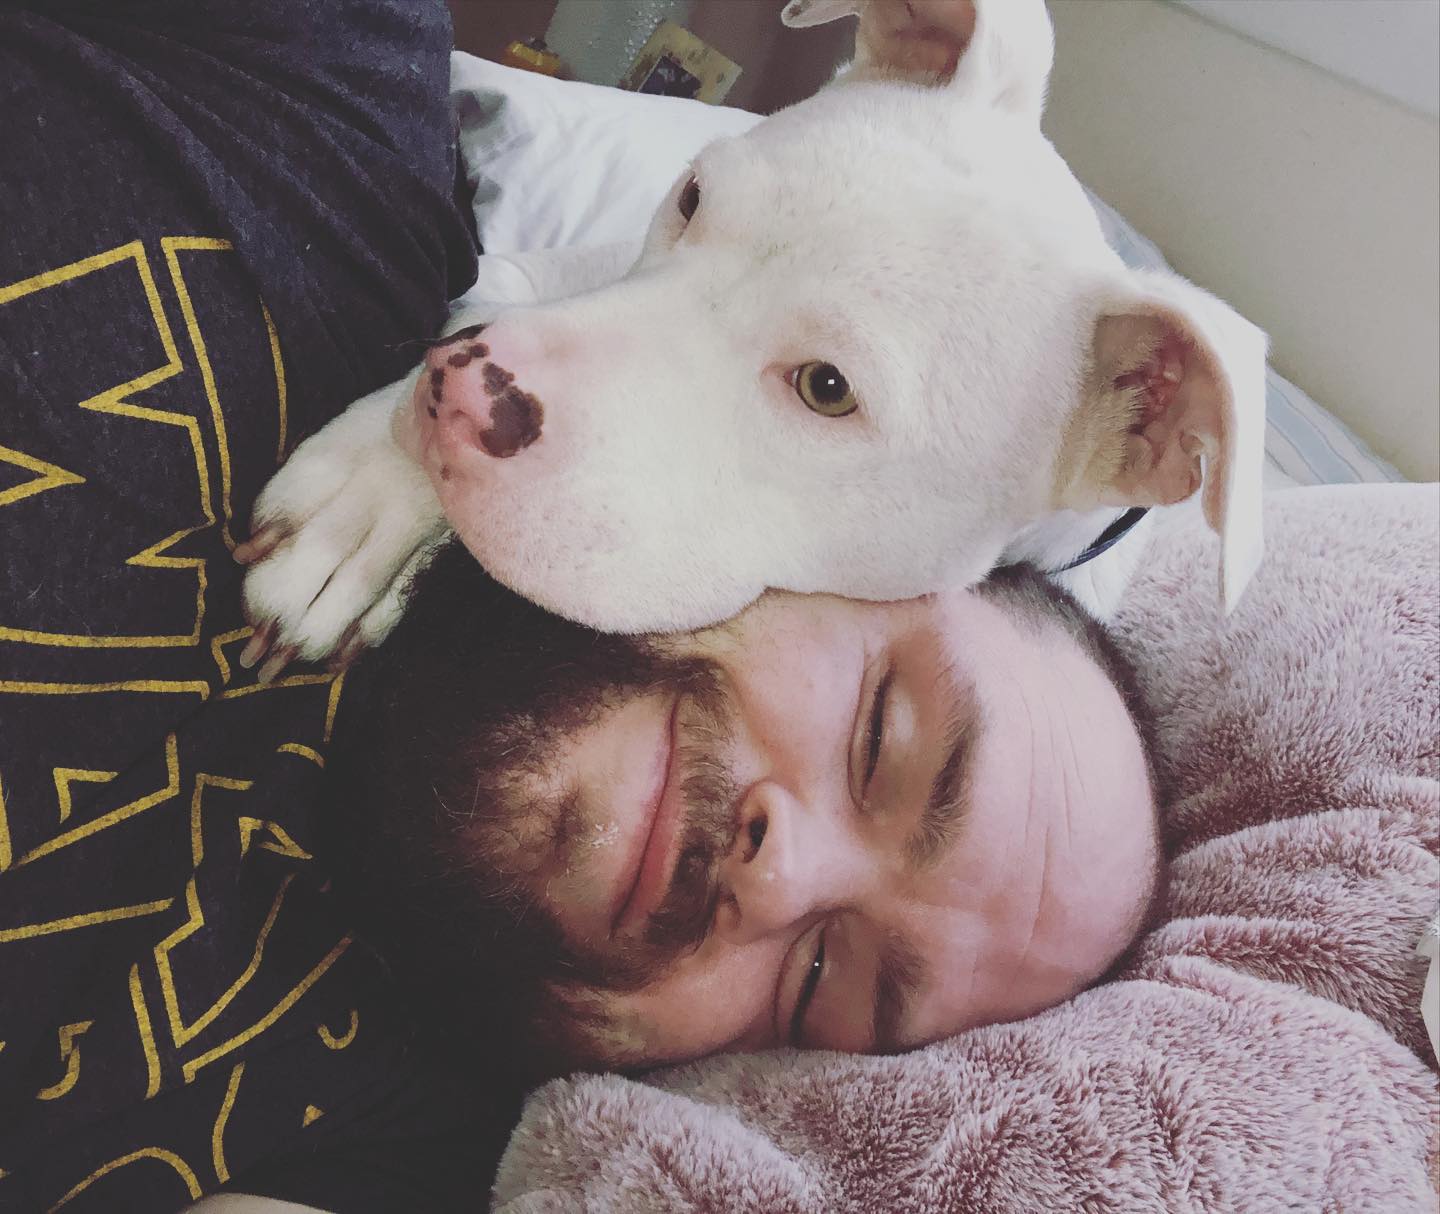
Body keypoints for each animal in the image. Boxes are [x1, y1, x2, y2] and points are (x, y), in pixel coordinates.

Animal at [236, 0, 1261, 673]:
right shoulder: (529, 277)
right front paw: (367, 503)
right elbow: (481, 304)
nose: (456, 392)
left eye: (827, 388)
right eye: (692, 198)